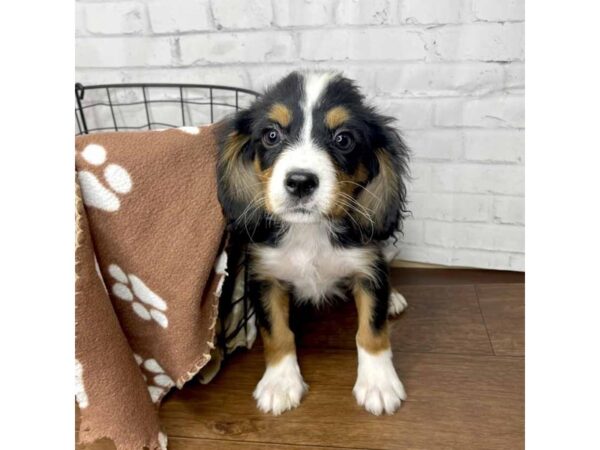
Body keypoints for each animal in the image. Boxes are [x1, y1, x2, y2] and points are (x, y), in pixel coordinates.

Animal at [218, 70, 410, 414]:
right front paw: (280, 382)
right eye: (271, 135)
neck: (309, 231)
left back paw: (394, 299)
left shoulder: (368, 267)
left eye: (343, 139)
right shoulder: (266, 276)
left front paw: (378, 383)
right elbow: (276, 332)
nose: (300, 182)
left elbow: (372, 330)